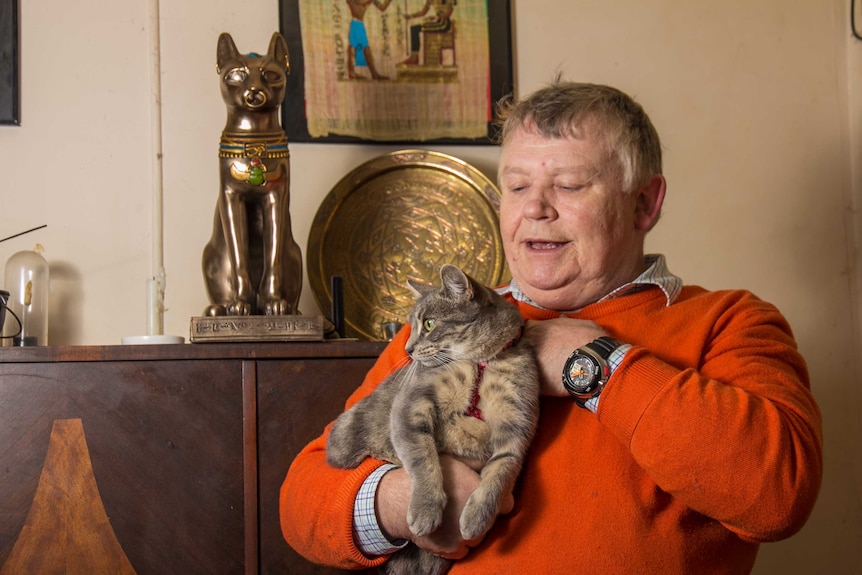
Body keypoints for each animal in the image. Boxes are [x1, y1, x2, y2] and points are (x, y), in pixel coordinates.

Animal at [201, 31, 302, 318]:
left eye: (270, 74)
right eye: (236, 75)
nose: (254, 91)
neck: (255, 141)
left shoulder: (276, 197)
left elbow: (272, 258)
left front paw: (275, 303)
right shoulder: (231, 197)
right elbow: (239, 256)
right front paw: (239, 304)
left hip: (295, 254)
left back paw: (289, 309)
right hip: (210, 256)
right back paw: (220, 308)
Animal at [326, 266, 540, 575]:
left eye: (428, 324)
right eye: (412, 326)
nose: (407, 349)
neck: (481, 362)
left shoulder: (517, 425)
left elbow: (501, 474)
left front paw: (477, 517)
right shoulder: (410, 406)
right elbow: (423, 459)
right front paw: (426, 509)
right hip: (347, 432)